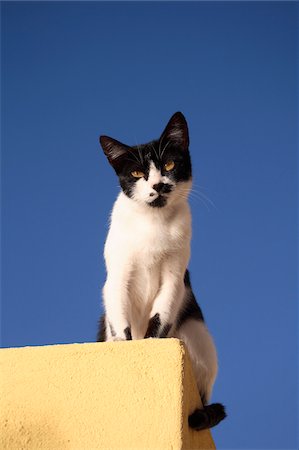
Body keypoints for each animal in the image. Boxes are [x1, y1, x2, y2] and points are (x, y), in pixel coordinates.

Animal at [97, 111, 226, 428]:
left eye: (168, 165)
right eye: (136, 174)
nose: (157, 185)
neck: (152, 225)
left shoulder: (174, 277)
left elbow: (161, 316)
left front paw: (150, 347)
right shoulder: (117, 277)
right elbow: (121, 322)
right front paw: (130, 349)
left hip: (196, 334)